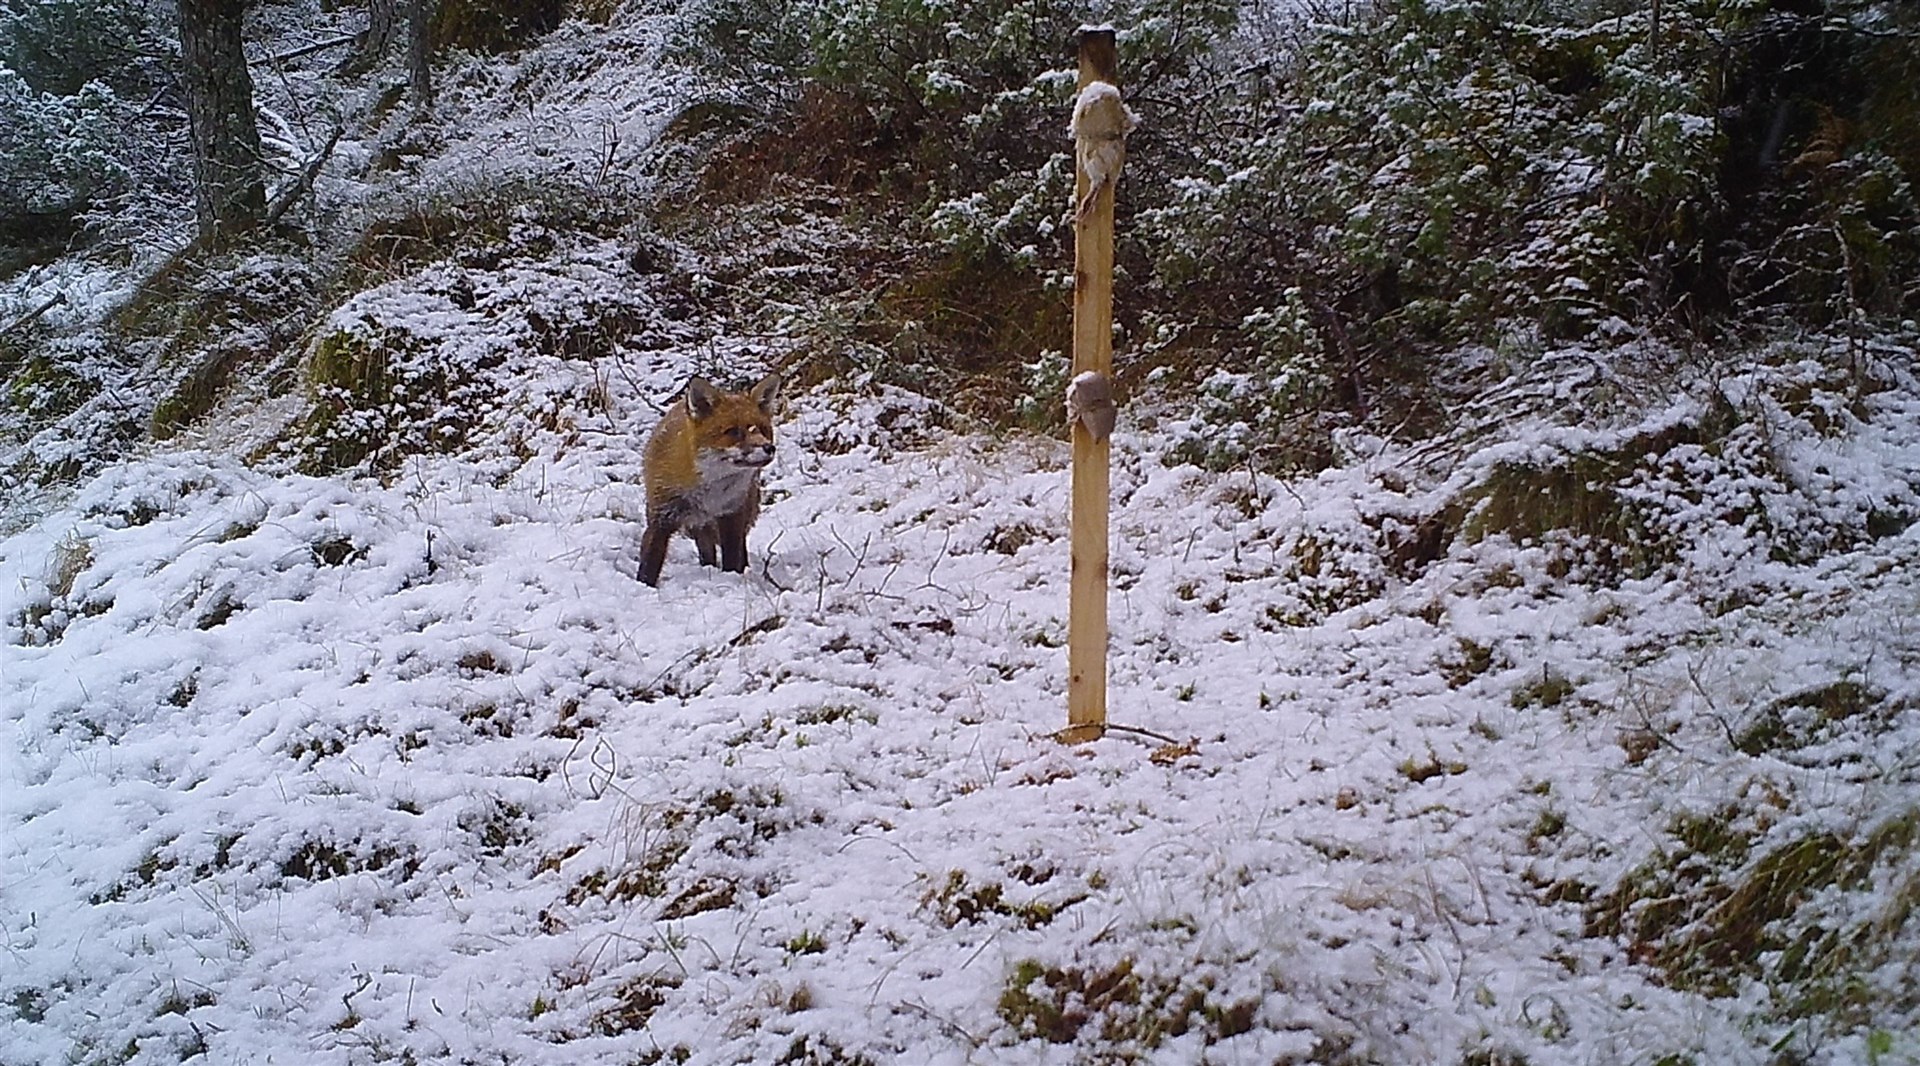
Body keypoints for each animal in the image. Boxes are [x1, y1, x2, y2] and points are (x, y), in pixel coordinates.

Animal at [633, 372, 775, 587]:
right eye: (733, 431)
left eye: (762, 429)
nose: (769, 447)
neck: (709, 493)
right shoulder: (660, 518)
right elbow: (649, 564)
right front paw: (644, 586)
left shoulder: (731, 514)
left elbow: (732, 557)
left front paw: (732, 577)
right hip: (697, 526)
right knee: (707, 550)